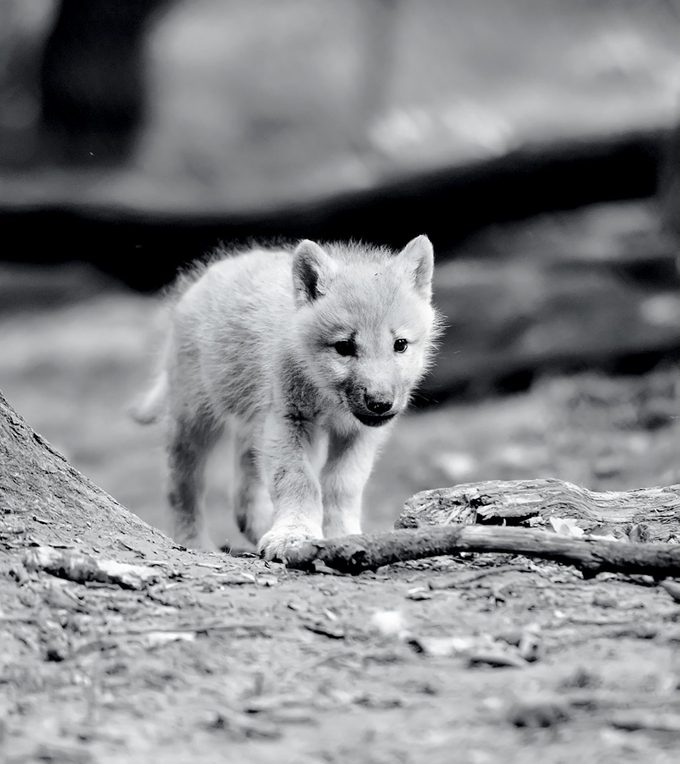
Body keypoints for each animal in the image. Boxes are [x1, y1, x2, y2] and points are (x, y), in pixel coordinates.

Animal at [133, 235, 441, 561]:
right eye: (344, 347)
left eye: (400, 344)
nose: (380, 403)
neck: (326, 397)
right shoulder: (288, 421)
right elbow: (298, 479)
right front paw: (293, 535)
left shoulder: (357, 435)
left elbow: (342, 485)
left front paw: (342, 535)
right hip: (194, 418)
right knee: (181, 485)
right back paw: (194, 542)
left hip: (255, 425)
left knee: (242, 493)